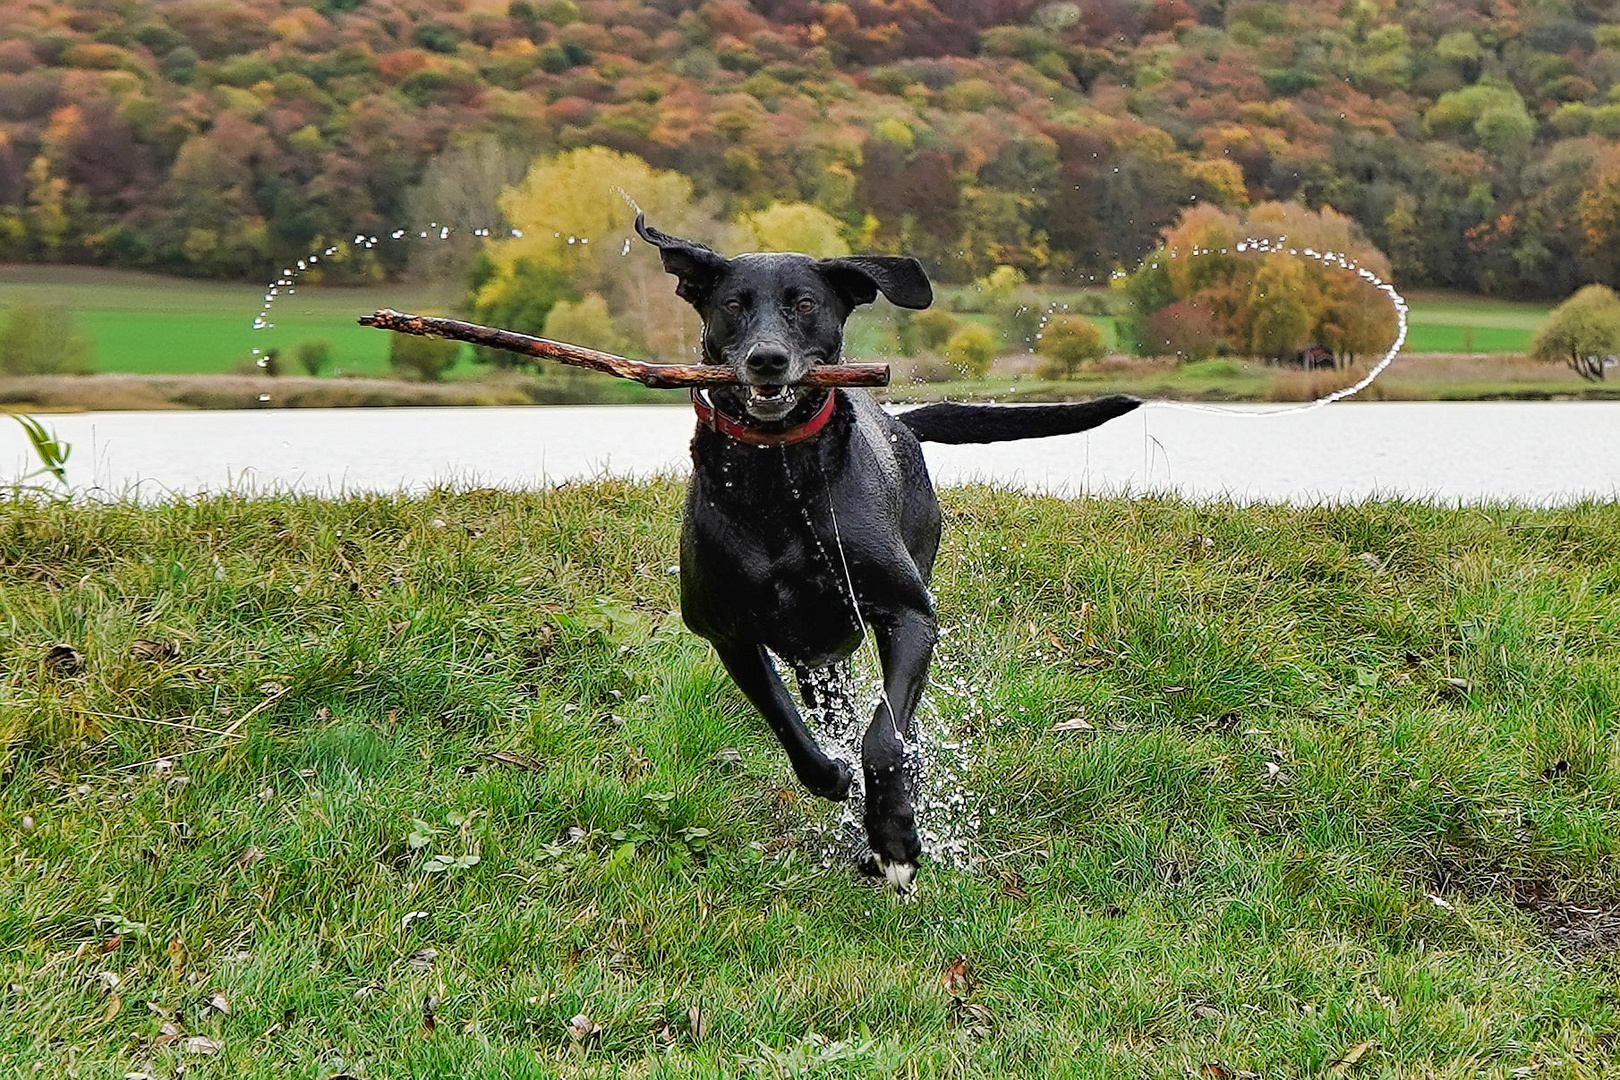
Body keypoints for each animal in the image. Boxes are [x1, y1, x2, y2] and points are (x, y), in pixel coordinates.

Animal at [631, 215, 1140, 893]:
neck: (777, 480)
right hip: (818, 658)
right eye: (733, 306)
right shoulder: (728, 632)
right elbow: (790, 728)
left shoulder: (909, 615)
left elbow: (884, 737)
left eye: (806, 304)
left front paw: (894, 836)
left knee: (896, 725)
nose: (767, 360)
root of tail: (901, 422)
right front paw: (837, 782)